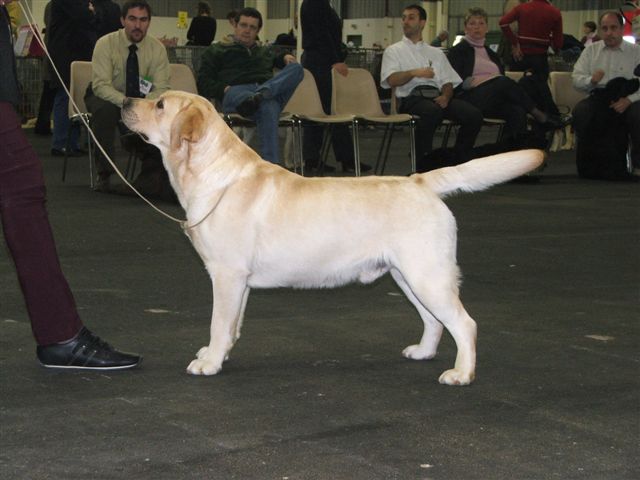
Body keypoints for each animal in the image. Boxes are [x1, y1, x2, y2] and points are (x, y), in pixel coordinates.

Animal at [121, 90, 540, 384]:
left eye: (160, 104)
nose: (125, 100)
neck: (214, 175)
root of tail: (420, 181)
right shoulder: (239, 282)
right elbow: (232, 325)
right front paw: (217, 354)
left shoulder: (227, 275)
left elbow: (219, 322)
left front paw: (208, 362)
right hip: (407, 276)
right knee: (435, 320)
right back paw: (422, 352)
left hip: (427, 275)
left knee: (465, 324)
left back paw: (461, 374)